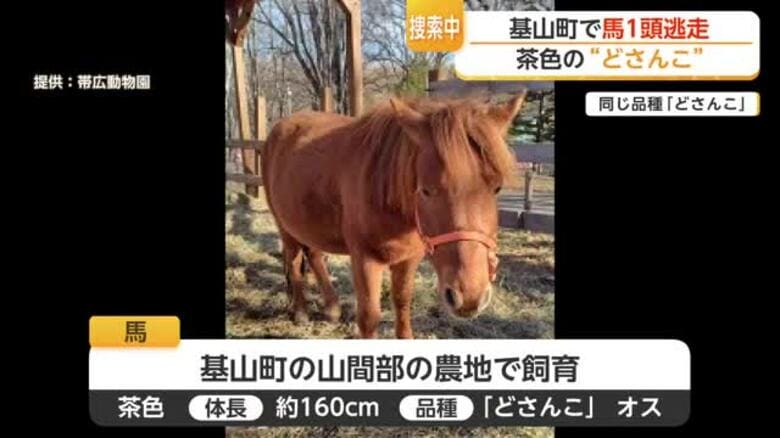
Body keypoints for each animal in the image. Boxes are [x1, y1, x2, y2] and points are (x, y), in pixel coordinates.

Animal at [260, 94, 526, 339]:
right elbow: (369, 317)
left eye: (497, 188)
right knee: (293, 259)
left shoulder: (409, 258)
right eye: (425, 190)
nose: (469, 297)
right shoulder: (365, 259)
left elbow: (402, 302)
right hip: (284, 225)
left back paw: (332, 308)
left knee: (314, 254)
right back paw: (301, 311)